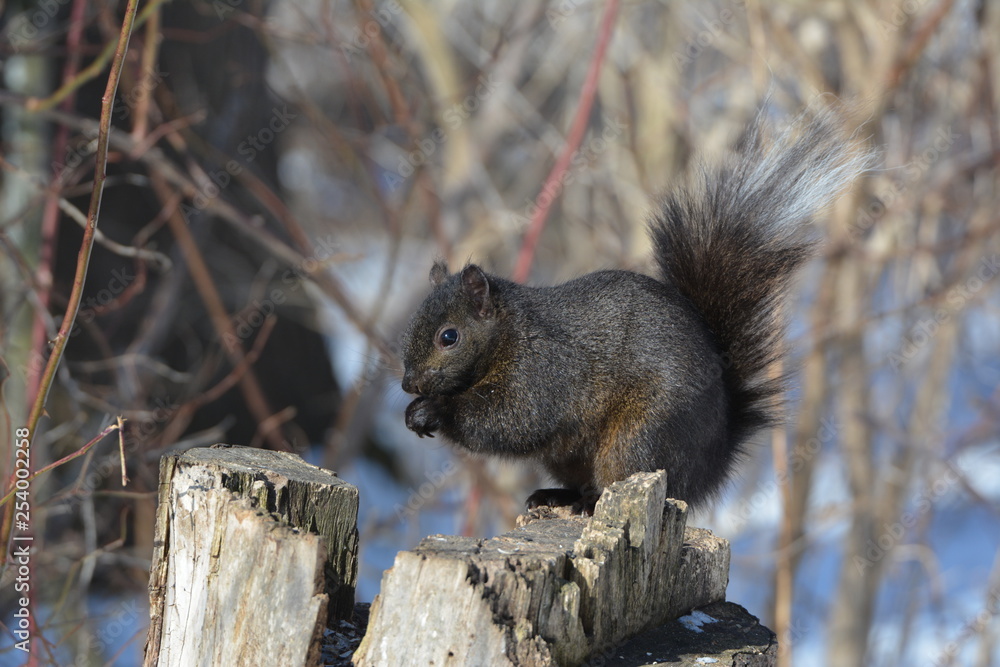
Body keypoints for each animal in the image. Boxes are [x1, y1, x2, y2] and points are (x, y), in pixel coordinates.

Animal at [399, 109, 869, 512]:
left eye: (449, 336)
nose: (408, 384)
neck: (509, 333)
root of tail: (712, 464)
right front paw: (414, 412)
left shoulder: (542, 371)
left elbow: (513, 420)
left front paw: (435, 410)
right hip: (575, 455)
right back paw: (558, 496)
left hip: (639, 438)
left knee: (625, 477)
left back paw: (590, 502)